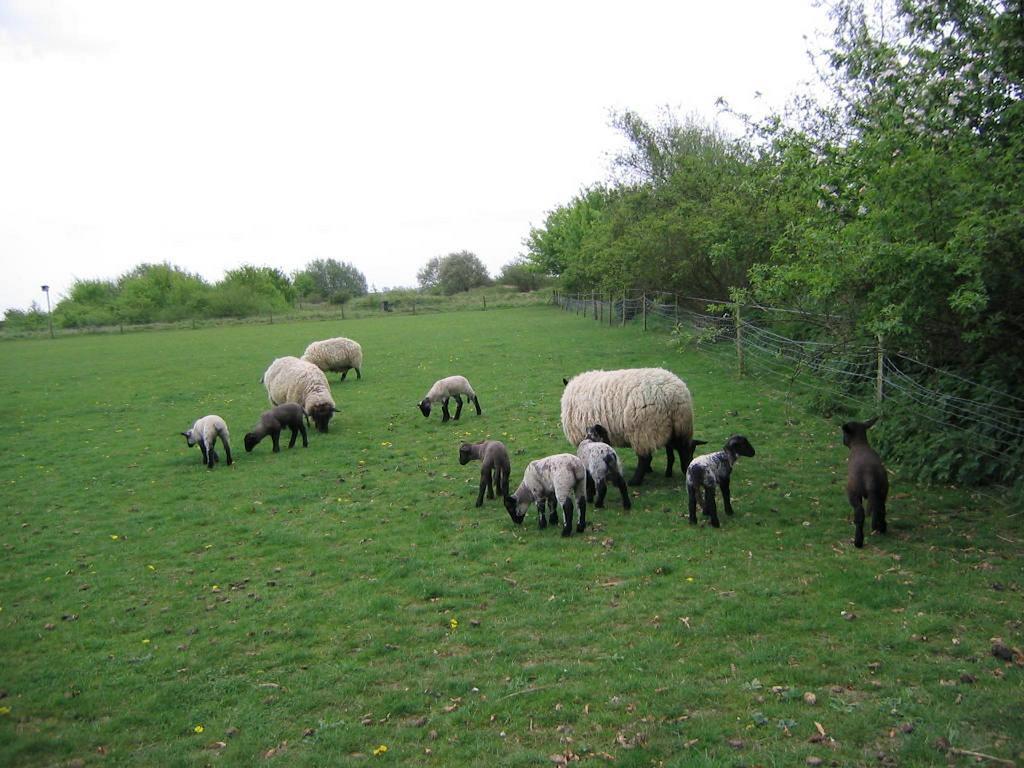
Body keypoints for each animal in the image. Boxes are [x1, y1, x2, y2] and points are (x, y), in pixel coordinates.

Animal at [561, 368, 704, 487]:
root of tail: (675, 395)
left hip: (644, 429)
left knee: (645, 458)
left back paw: (635, 481)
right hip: (679, 426)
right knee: (683, 448)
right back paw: (684, 470)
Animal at [839, 417, 888, 548]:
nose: (843, 441)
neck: (859, 444)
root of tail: (869, 473)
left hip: (853, 491)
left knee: (859, 514)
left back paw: (858, 541)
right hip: (883, 489)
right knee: (880, 508)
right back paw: (881, 528)